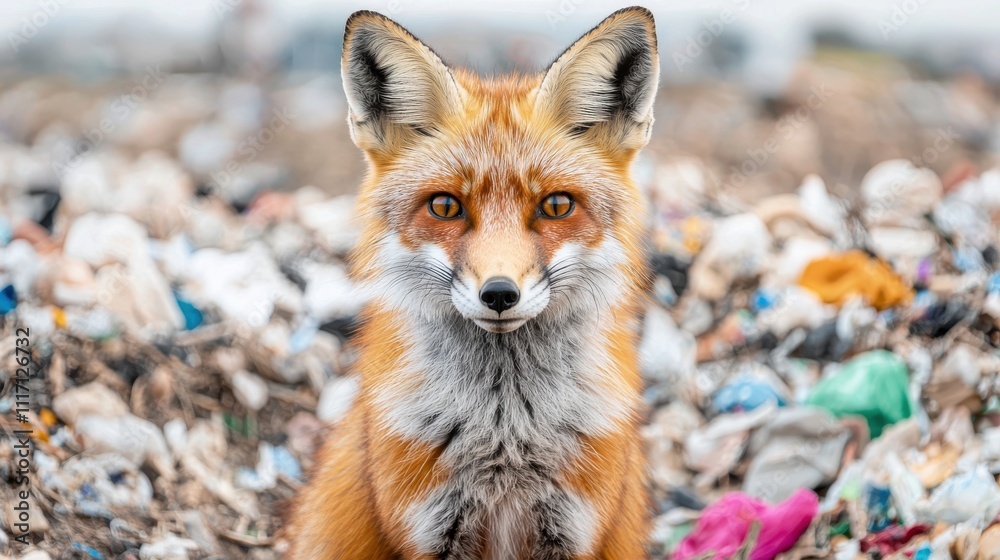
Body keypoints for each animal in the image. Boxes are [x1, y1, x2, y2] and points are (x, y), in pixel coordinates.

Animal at [285, 6, 659, 560]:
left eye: (556, 205)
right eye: (445, 206)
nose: (500, 293)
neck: (505, 432)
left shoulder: (572, 527)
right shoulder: (428, 527)